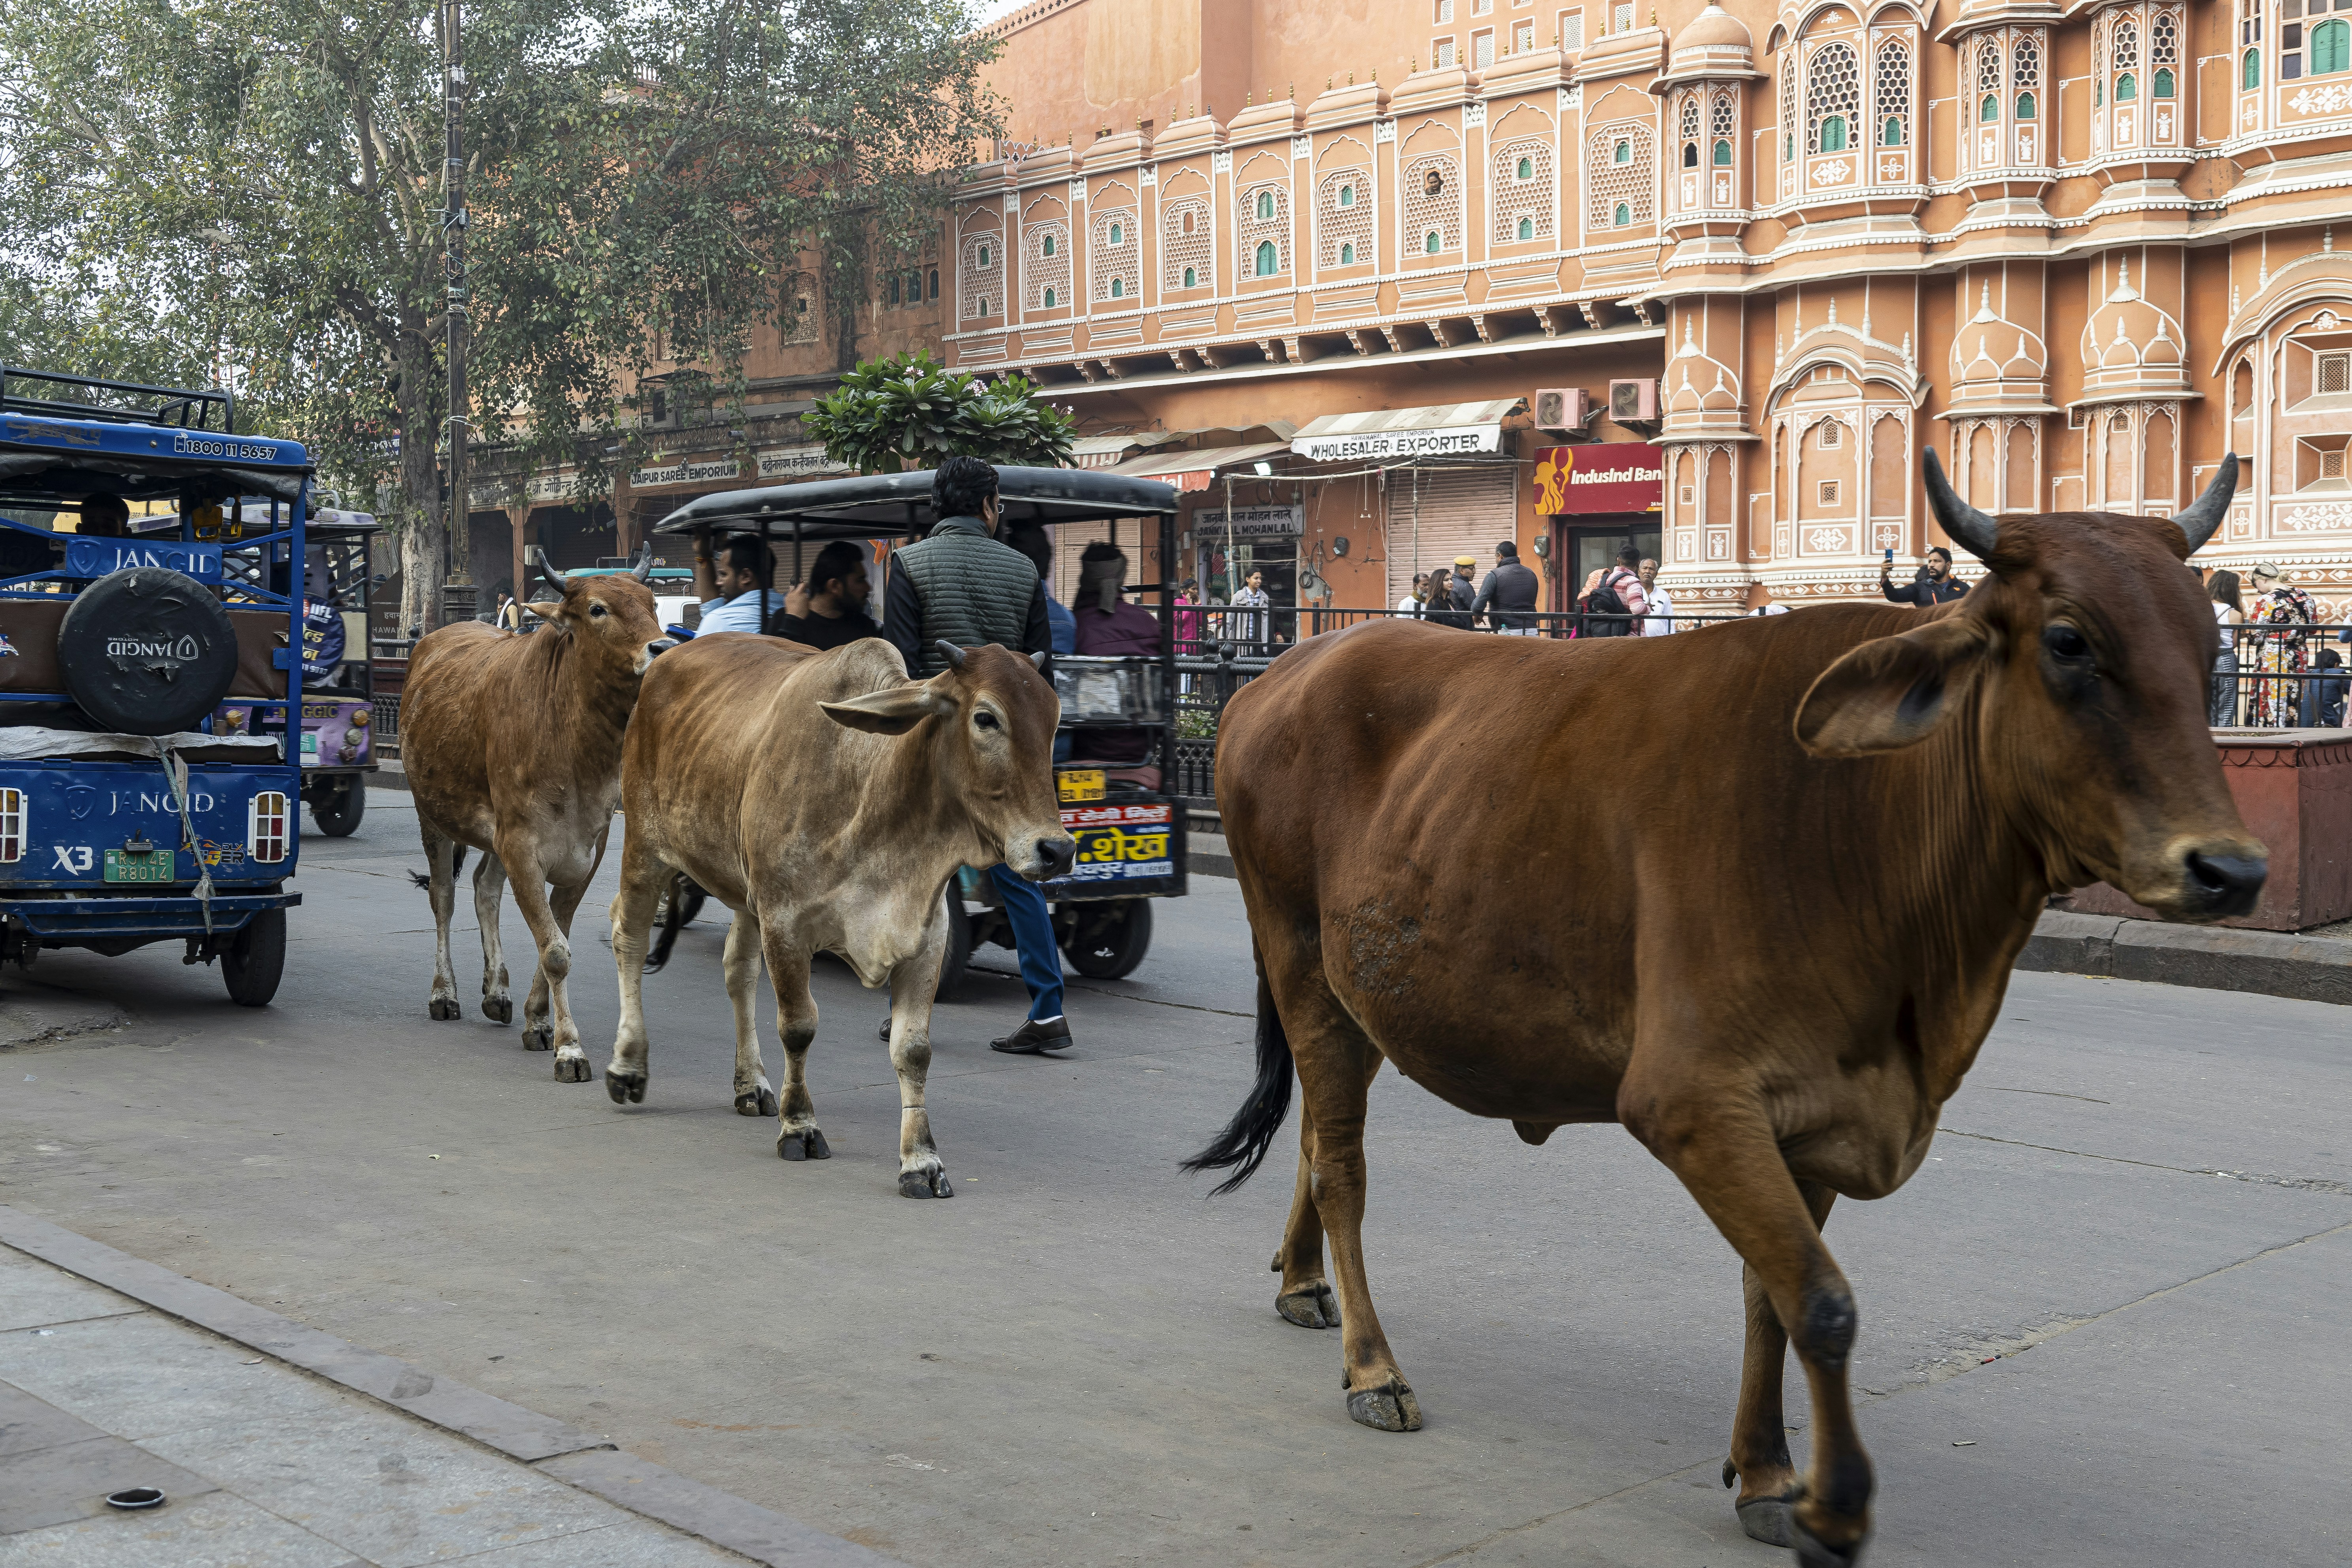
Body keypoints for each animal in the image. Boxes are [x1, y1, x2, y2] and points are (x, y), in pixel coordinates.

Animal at [401, 557, 674, 1083]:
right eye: (597, 609)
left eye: (653, 604)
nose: (663, 648)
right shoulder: (522, 847)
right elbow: (555, 951)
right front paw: (569, 1049)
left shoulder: (584, 853)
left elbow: (557, 934)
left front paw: (538, 1020)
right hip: (433, 817)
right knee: (443, 896)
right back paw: (444, 993)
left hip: (494, 835)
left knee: (485, 888)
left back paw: (497, 991)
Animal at [601, 633, 1073, 1197]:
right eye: (986, 718)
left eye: (1054, 720)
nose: (1057, 850)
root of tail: (665, 655)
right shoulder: (786, 925)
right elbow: (798, 1027)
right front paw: (800, 1126)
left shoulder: (926, 940)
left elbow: (913, 1049)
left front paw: (921, 1160)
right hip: (644, 848)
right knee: (627, 940)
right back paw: (627, 1065)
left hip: (743, 893)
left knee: (738, 972)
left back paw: (751, 1083)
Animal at [1186, 456, 2261, 1567]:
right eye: (2068, 641)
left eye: (2206, 645)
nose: (2228, 870)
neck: (1863, 819)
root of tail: (1283, 669)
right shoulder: (1694, 1103)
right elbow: (1821, 1301)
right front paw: (1832, 1505)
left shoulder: (1816, 1112)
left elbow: (1773, 1295)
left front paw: (1768, 1470)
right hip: (1298, 955)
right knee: (1344, 1165)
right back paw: (1373, 1365)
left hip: (1362, 988)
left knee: (1318, 1132)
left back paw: (1300, 1280)